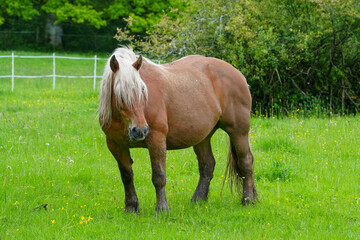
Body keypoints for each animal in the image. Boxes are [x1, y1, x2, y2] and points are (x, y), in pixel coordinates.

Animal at [98, 47, 256, 213]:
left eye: (142, 90)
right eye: (120, 94)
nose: (139, 130)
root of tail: (238, 74)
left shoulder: (157, 140)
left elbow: (159, 176)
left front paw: (162, 209)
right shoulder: (116, 145)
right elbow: (127, 176)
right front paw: (131, 207)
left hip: (238, 132)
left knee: (246, 161)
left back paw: (248, 200)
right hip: (203, 137)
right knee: (207, 165)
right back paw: (198, 200)